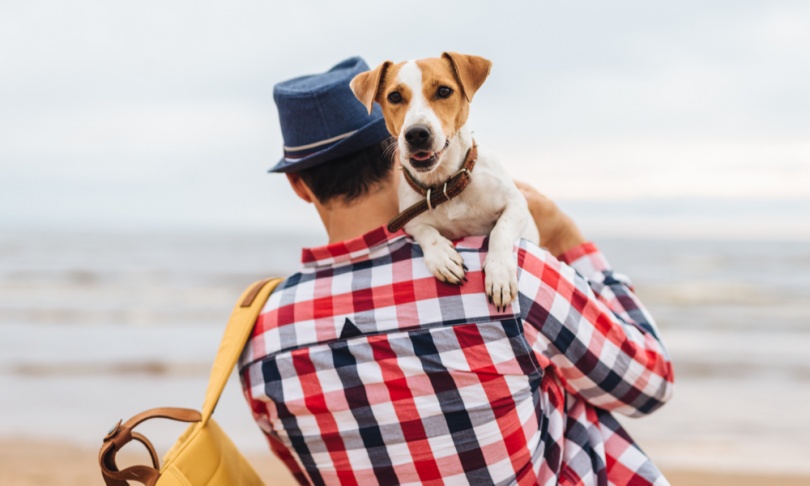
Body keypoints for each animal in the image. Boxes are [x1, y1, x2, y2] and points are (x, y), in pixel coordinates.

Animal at [350, 52, 540, 312]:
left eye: (443, 91)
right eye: (394, 96)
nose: (416, 134)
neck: (445, 185)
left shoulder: (517, 204)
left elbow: (500, 230)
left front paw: (499, 273)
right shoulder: (409, 219)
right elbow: (425, 231)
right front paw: (442, 256)